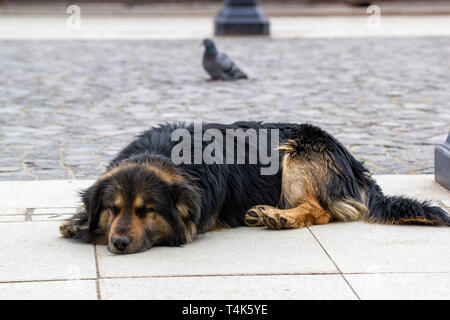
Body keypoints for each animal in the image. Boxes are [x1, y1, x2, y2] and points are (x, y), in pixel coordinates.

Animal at [60, 121, 450, 254]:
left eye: (146, 211)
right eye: (112, 209)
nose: (118, 243)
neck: (162, 153)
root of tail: (353, 163)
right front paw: (77, 220)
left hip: (295, 154)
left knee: (322, 210)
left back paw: (279, 216)